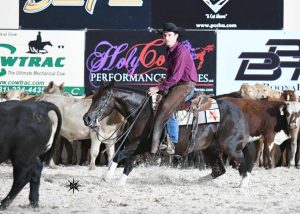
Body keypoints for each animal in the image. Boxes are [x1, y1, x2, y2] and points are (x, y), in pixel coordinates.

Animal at [82, 83, 253, 187]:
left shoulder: (141, 144)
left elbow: (120, 155)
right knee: (219, 171)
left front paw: (106, 176)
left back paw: (243, 184)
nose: (87, 118)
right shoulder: (135, 146)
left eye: (103, 98)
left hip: (231, 147)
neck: (143, 111)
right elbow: (129, 163)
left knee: (244, 163)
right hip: (210, 149)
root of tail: (240, 111)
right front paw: (120, 182)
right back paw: (193, 182)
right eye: (94, 97)